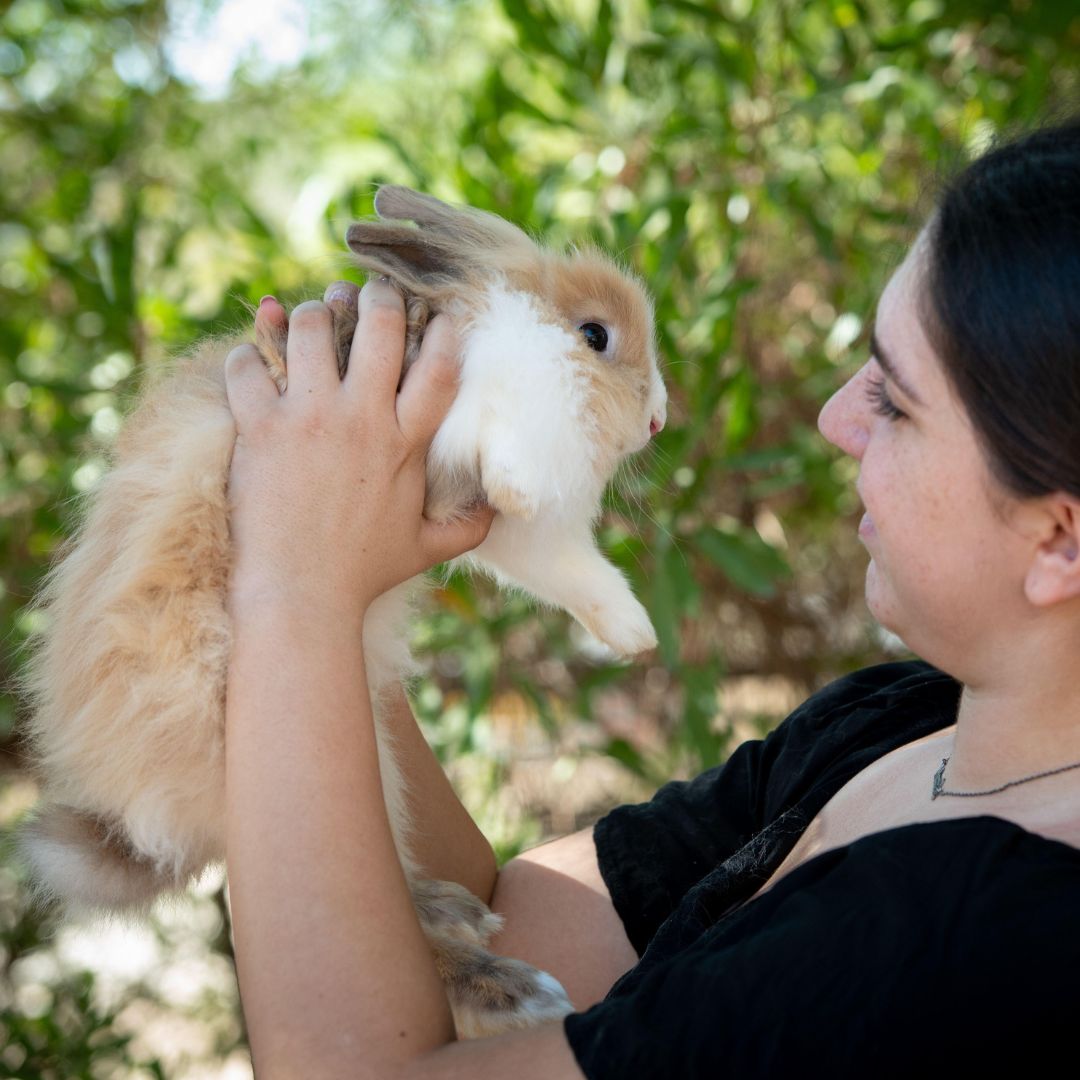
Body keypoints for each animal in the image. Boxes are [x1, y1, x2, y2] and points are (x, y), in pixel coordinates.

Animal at [16, 185, 667, 1037]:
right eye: (596, 336)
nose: (658, 420)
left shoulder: (510, 535)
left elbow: (573, 571)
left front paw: (635, 635)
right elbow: (510, 458)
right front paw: (519, 479)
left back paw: (455, 910)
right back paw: (511, 988)